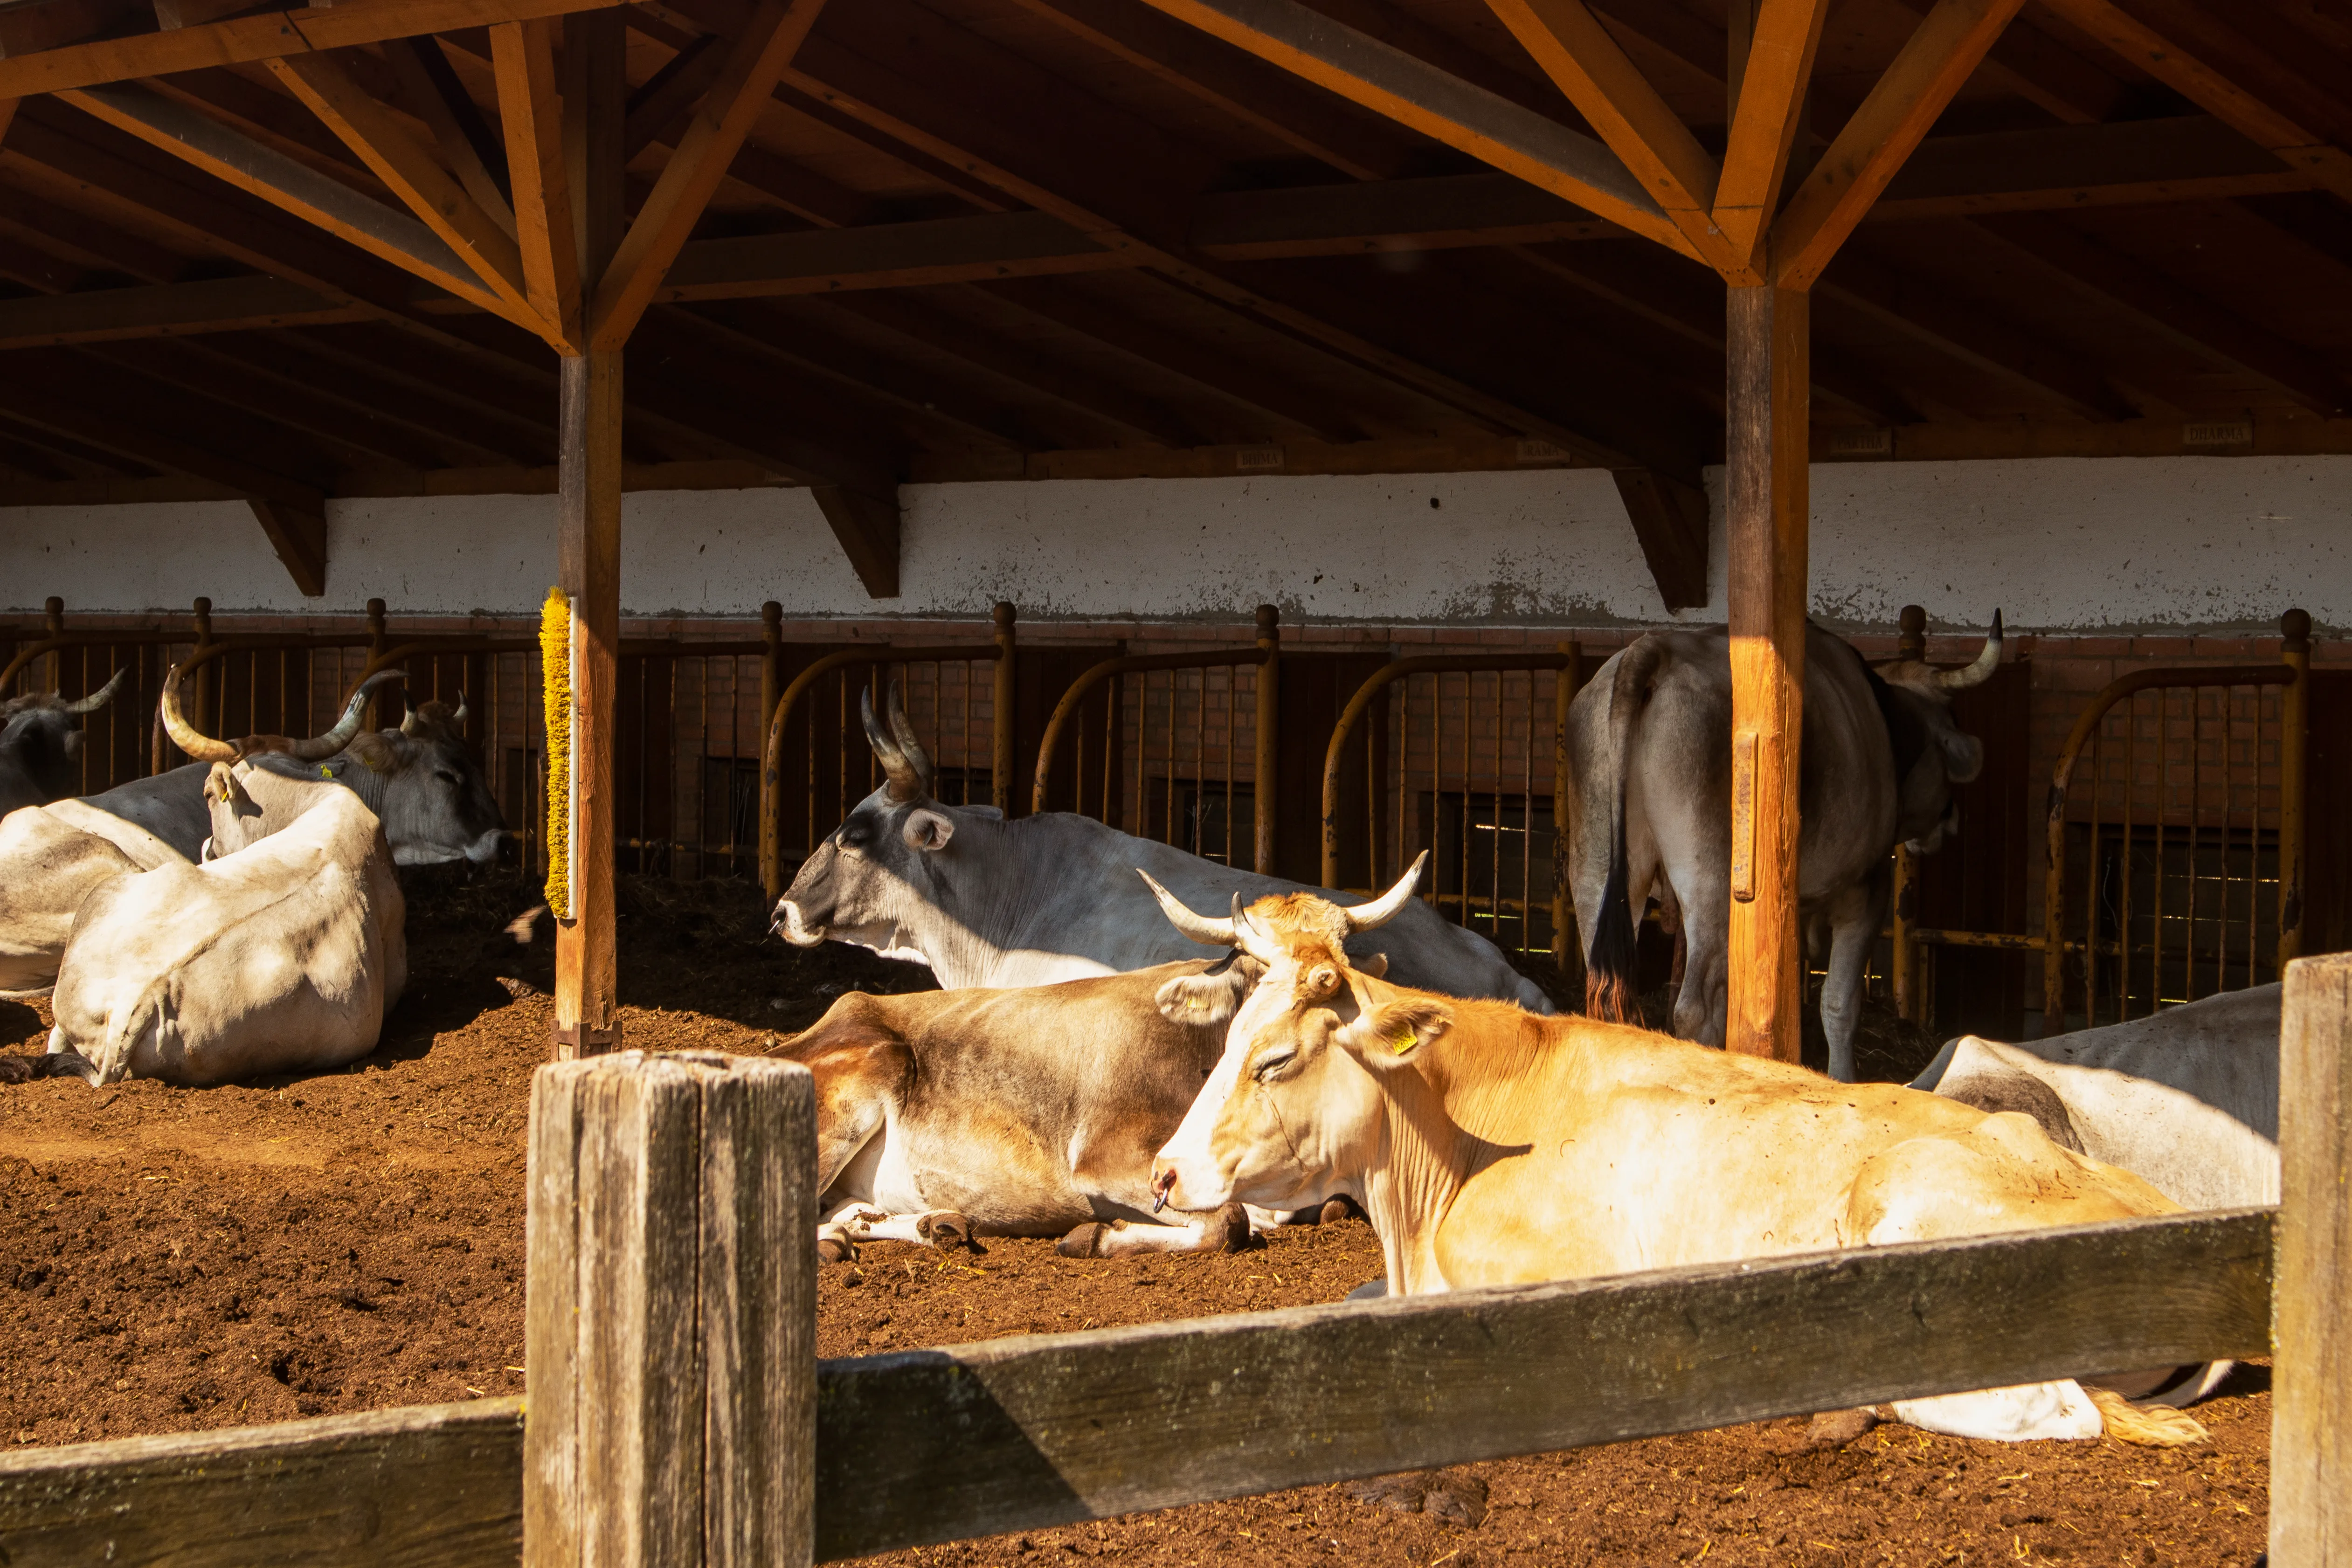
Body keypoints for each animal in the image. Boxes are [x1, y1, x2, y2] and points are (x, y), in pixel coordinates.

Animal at [779, 960, 1293, 1261]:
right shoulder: (1107, 1161)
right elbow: (1229, 1221)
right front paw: (1095, 1237)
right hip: (864, 1081)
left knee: (845, 1210)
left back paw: (937, 1226)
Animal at [1565, 617, 2001, 1080]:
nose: (1952, 820)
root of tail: (1654, 649)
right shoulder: (1866, 889)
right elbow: (1839, 1003)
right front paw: (1842, 1078)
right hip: (1710, 883)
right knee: (1696, 1010)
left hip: (1596, 868)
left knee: (1607, 994)